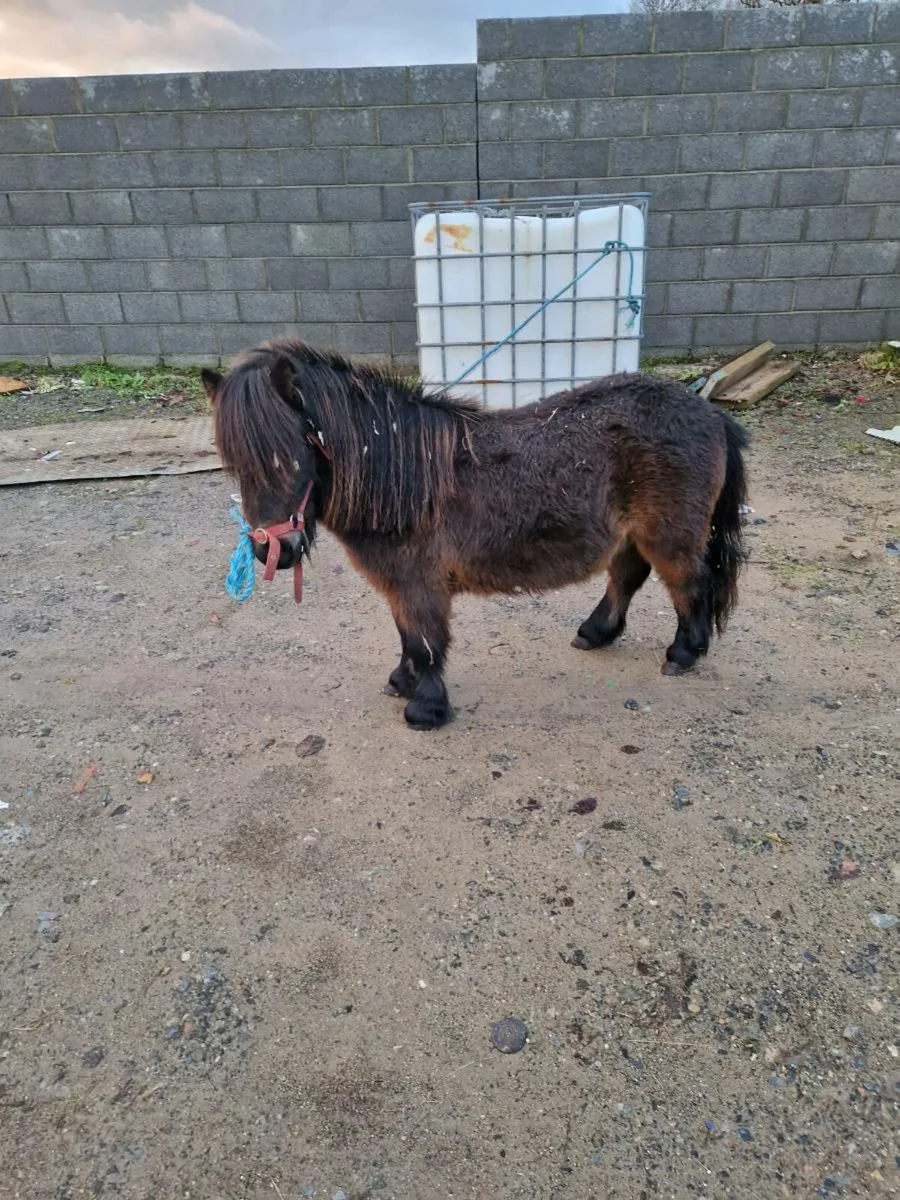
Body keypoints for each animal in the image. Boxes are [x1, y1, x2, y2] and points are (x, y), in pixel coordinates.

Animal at [204, 338, 748, 731]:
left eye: (292, 455)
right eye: (237, 468)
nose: (273, 552)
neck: (402, 472)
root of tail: (709, 411)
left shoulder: (419, 582)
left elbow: (426, 641)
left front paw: (425, 708)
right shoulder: (401, 584)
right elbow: (408, 636)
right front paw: (403, 682)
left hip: (669, 533)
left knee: (689, 584)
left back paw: (684, 653)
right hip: (633, 534)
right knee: (628, 576)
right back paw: (596, 632)